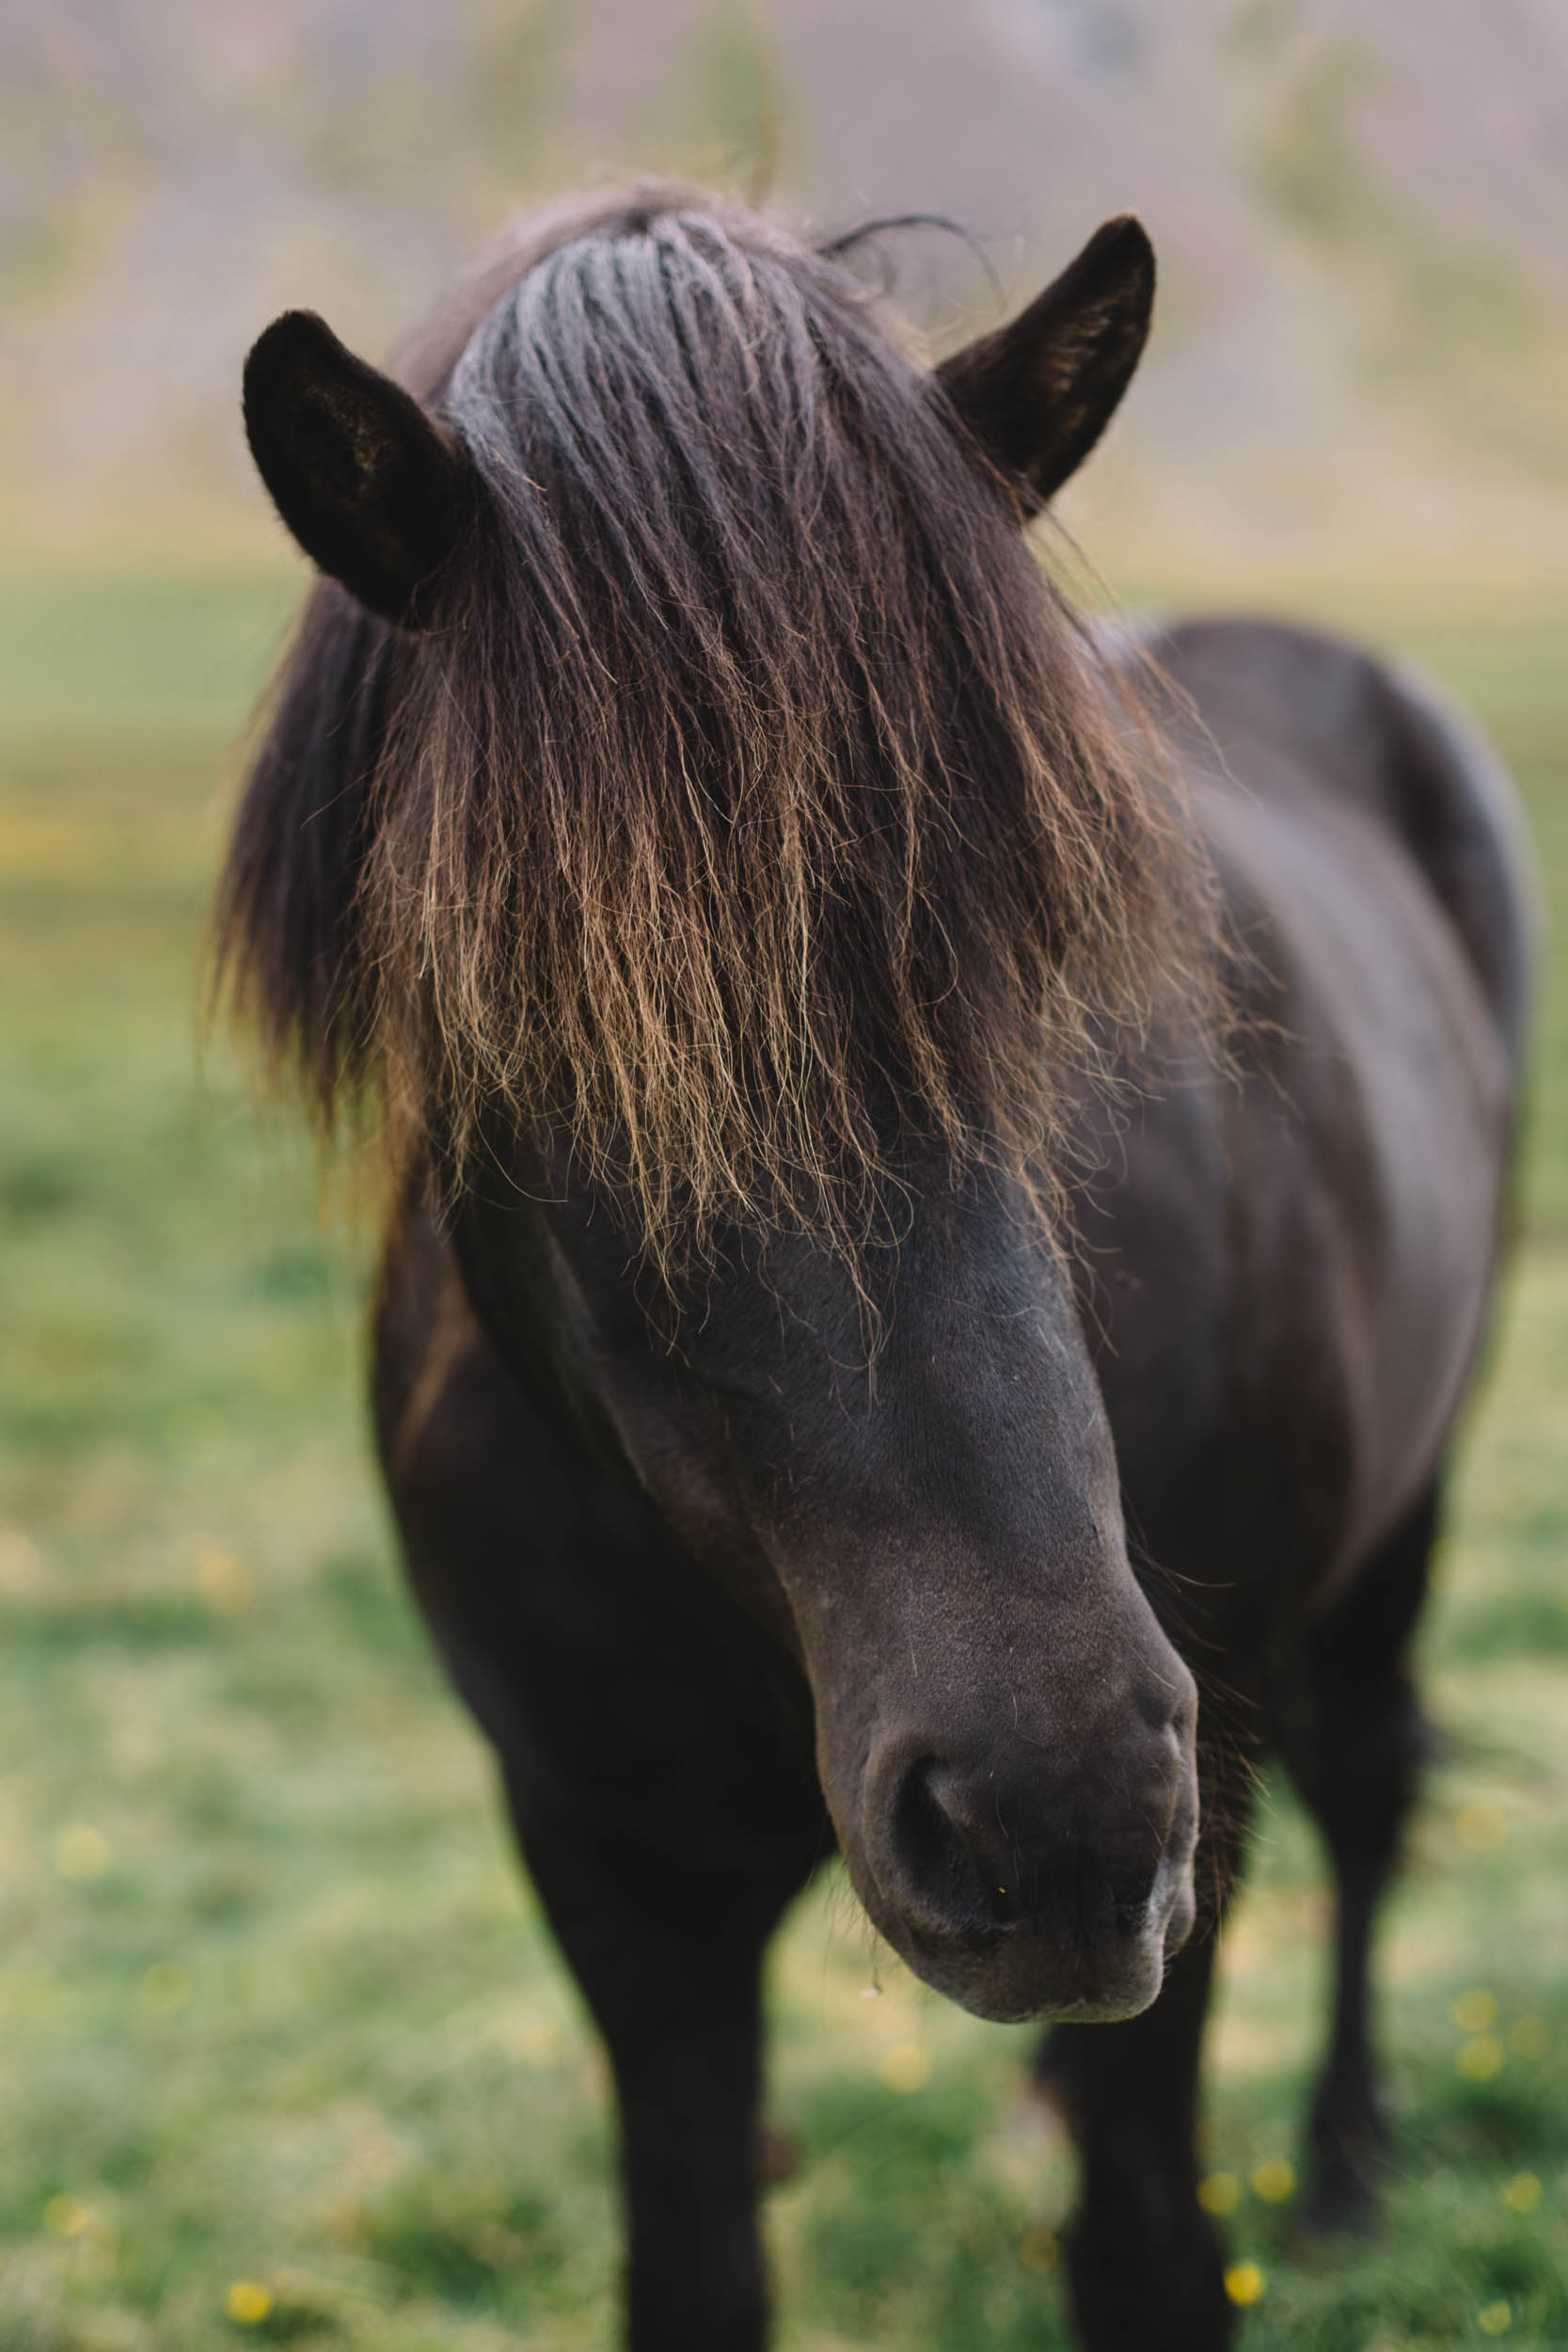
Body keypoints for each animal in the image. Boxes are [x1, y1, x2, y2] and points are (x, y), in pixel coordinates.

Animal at [220, 188, 1532, 2352]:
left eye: (1054, 942)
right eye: (523, 1002)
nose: (1053, 1812)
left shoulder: (1206, 1813)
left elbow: (1147, 2247)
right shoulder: (614, 1884)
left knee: (1369, 1789)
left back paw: (1344, 2164)